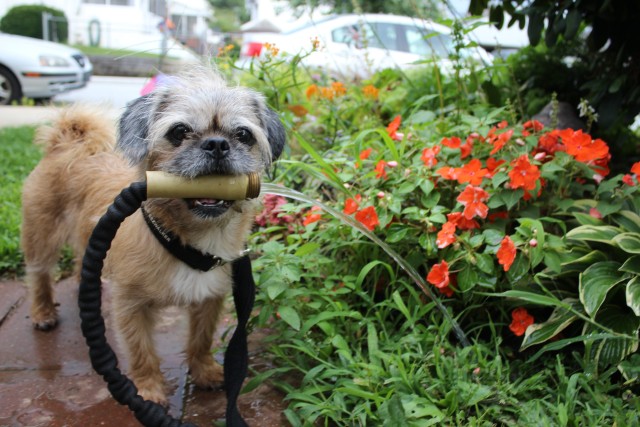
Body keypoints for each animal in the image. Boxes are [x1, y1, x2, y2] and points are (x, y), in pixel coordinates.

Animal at [20, 67, 284, 404]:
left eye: (243, 135)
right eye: (179, 131)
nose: (216, 144)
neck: (187, 237)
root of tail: (67, 141)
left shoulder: (210, 297)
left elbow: (201, 339)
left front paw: (205, 370)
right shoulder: (131, 307)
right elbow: (140, 350)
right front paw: (146, 391)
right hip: (42, 235)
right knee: (39, 275)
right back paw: (42, 312)